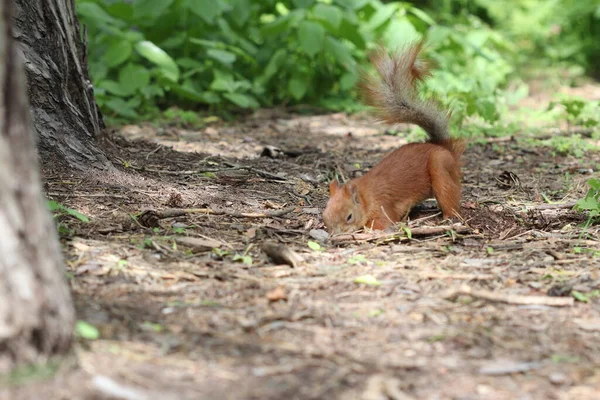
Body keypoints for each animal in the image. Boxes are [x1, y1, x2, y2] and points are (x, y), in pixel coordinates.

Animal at [324, 39, 464, 234]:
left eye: (349, 217)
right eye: (325, 215)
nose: (333, 235)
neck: (366, 196)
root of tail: (443, 147)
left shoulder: (383, 207)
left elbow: (383, 222)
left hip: (440, 167)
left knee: (449, 196)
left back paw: (449, 216)